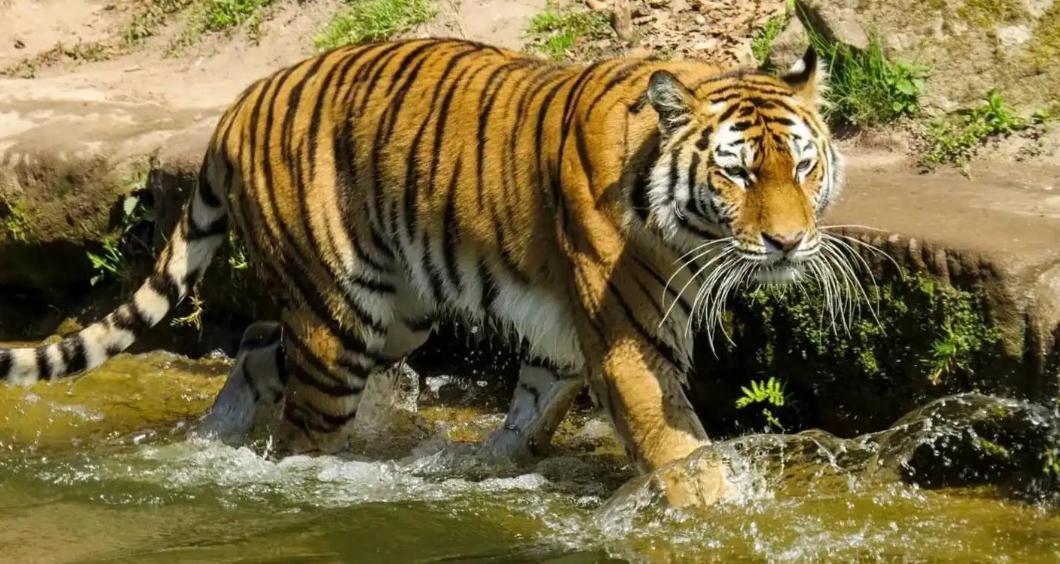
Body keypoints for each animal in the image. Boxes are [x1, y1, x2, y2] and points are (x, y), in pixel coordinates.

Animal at [0, 38, 843, 507]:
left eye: (803, 167)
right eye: (737, 173)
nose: (789, 242)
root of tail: (242, 100)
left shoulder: (569, 339)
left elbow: (531, 414)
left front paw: (486, 465)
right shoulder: (630, 341)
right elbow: (680, 450)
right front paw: (718, 515)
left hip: (395, 315)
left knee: (257, 347)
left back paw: (216, 437)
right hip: (340, 325)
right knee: (299, 426)